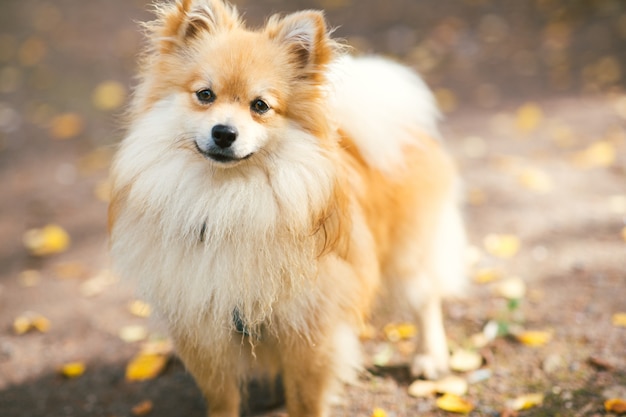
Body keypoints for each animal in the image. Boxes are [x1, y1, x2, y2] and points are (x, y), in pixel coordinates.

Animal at [109, 1, 466, 414]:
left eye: (260, 106)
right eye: (205, 95)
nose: (223, 132)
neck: (227, 201)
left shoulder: (310, 326)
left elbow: (306, 399)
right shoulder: (203, 329)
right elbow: (222, 398)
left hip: (406, 253)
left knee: (425, 297)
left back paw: (430, 357)